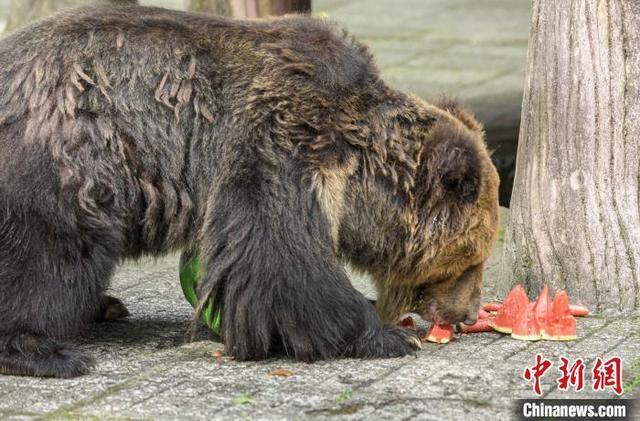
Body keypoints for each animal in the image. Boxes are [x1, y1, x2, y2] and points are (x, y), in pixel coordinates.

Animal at [0, 5, 498, 378]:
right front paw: (390, 334)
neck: (356, 171)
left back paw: (103, 306)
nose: (469, 314)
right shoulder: (281, 142)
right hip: (68, 161)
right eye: (470, 260)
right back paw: (47, 350)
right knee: (48, 258)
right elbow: (281, 256)